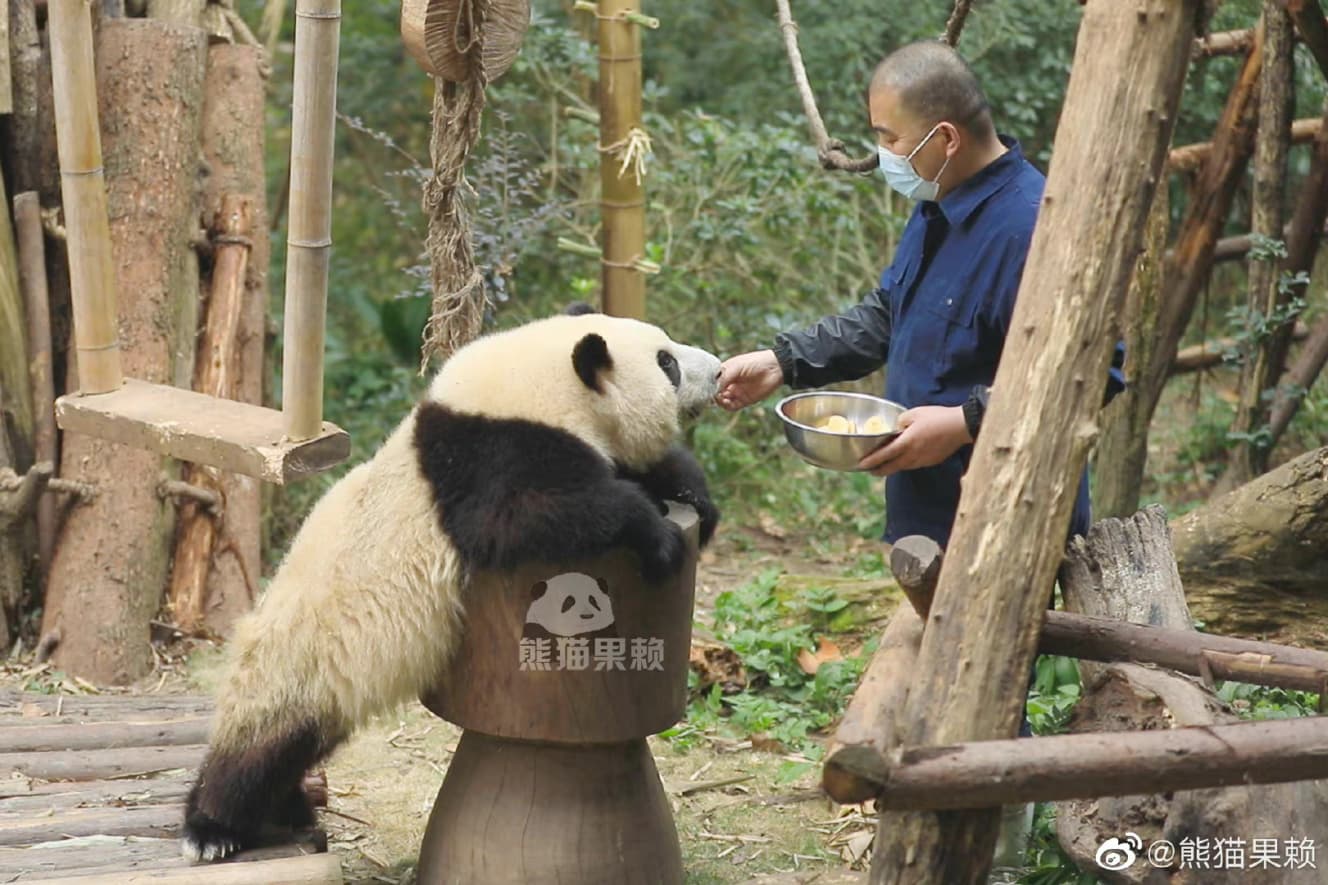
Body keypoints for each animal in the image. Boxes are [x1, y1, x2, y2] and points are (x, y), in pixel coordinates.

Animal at [181, 306, 722, 855]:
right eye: (667, 363)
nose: (720, 371)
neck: (535, 386)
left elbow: (637, 469)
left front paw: (692, 498)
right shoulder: (489, 459)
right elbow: (532, 514)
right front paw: (657, 536)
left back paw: (285, 809)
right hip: (301, 659)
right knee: (259, 748)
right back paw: (212, 828)